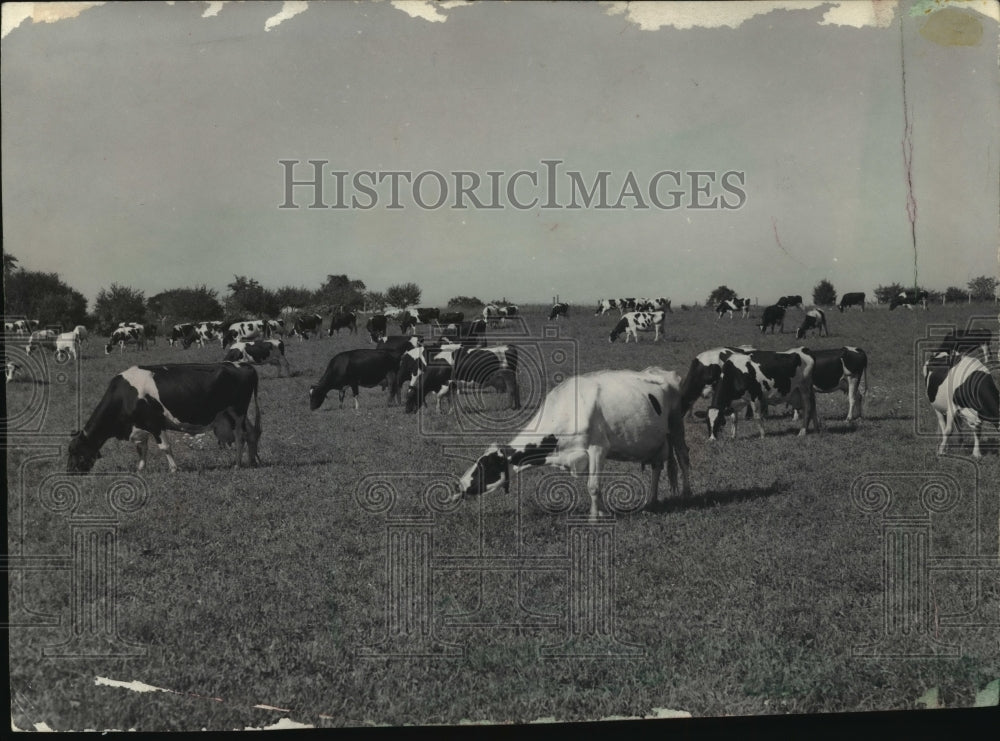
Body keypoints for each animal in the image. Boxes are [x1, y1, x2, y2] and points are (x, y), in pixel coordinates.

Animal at [66, 362, 262, 472]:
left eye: (74, 452)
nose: (70, 472)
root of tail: (243, 365)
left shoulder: (155, 423)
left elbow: (165, 447)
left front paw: (174, 469)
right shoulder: (140, 426)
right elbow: (141, 449)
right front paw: (141, 469)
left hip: (237, 412)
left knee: (240, 437)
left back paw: (238, 464)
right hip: (232, 414)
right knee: (252, 433)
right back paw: (252, 461)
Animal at [452, 368, 692, 516]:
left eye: (486, 466)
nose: (459, 485)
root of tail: (660, 371)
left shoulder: (598, 448)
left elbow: (593, 486)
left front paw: (594, 519)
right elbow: (594, 485)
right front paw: (602, 511)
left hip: (676, 425)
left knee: (683, 457)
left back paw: (687, 495)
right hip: (657, 441)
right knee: (657, 466)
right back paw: (651, 501)